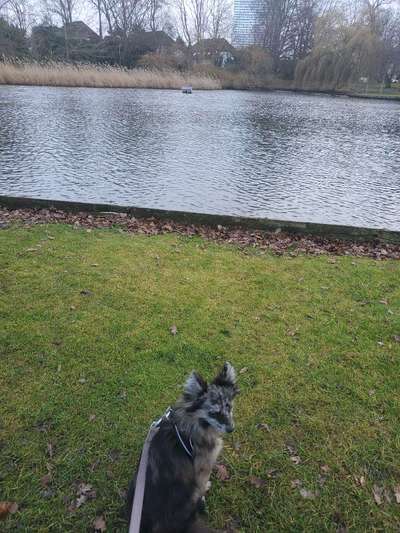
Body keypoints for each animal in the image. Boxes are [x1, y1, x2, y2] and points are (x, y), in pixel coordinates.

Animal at [127, 362, 238, 532]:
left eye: (229, 407)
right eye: (214, 413)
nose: (231, 429)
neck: (194, 422)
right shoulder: (203, 467)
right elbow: (202, 485)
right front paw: (204, 492)